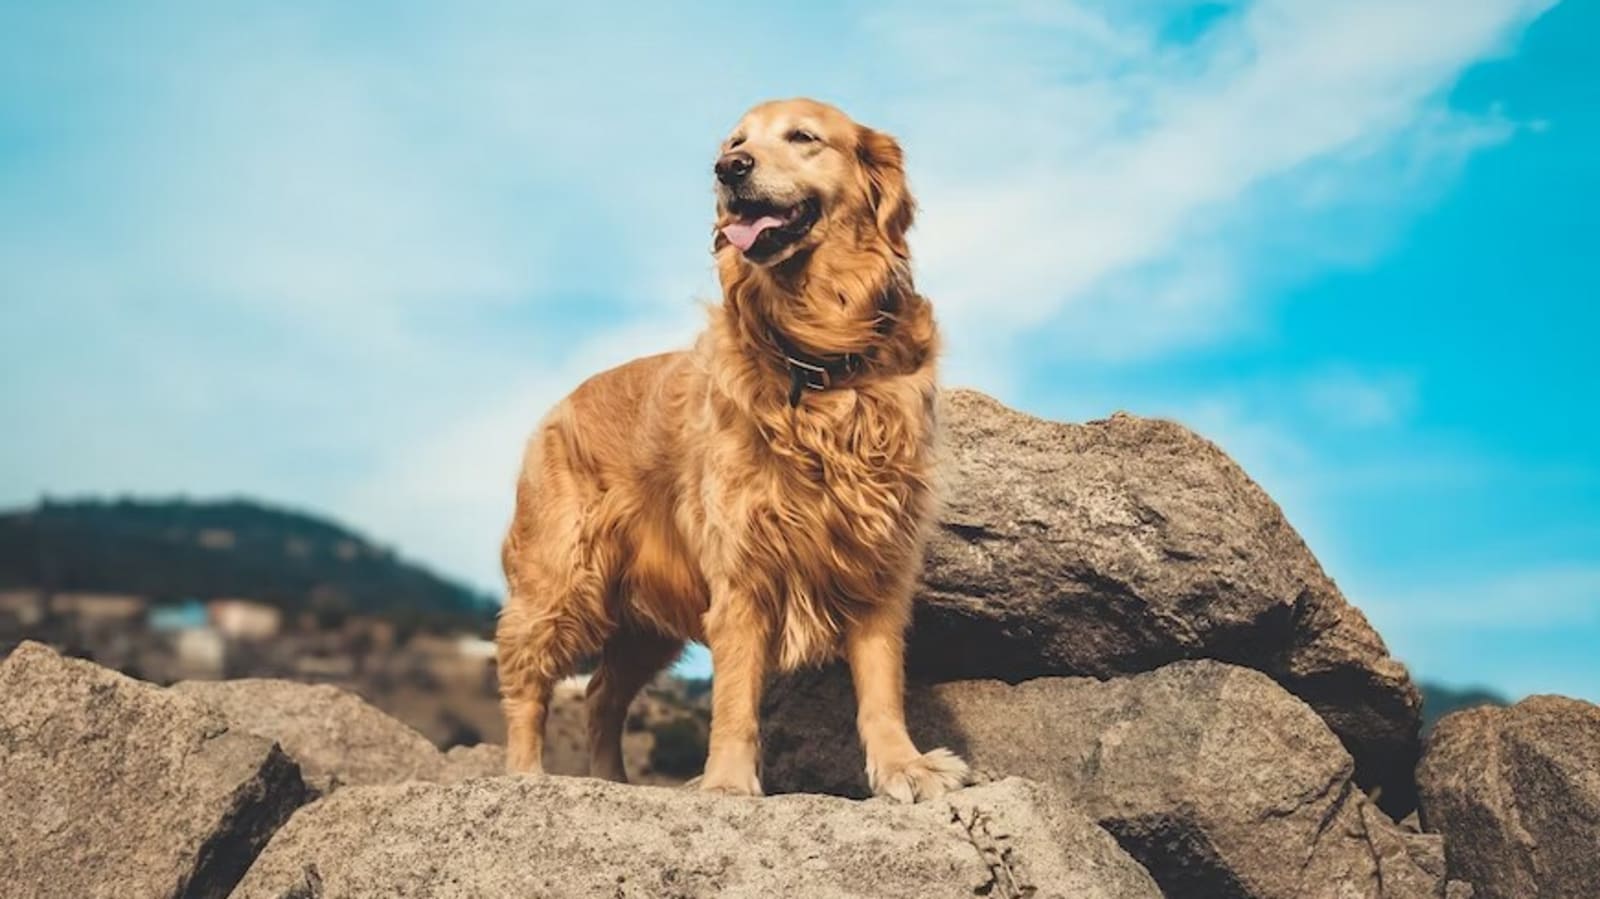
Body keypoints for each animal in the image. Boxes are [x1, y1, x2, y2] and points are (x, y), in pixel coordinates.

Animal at [492, 99, 966, 796]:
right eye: (734, 142)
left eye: (803, 136)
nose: (729, 169)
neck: (816, 358)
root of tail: (557, 407)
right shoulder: (741, 567)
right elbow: (736, 696)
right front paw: (726, 783)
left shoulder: (877, 556)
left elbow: (881, 685)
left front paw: (903, 765)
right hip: (560, 577)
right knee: (527, 678)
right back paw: (526, 774)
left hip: (643, 621)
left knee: (603, 693)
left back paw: (615, 781)